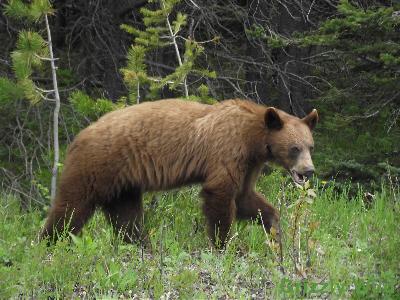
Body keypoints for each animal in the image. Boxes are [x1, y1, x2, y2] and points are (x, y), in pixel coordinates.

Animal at [39, 98, 318, 246]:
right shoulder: (228, 150)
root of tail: (78, 137)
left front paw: (276, 232)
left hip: (123, 183)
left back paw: (141, 246)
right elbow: (220, 194)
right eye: (294, 148)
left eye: (310, 145)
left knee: (127, 217)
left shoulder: (249, 164)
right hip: (97, 165)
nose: (308, 171)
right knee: (71, 207)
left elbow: (245, 197)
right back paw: (48, 243)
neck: (254, 138)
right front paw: (224, 244)